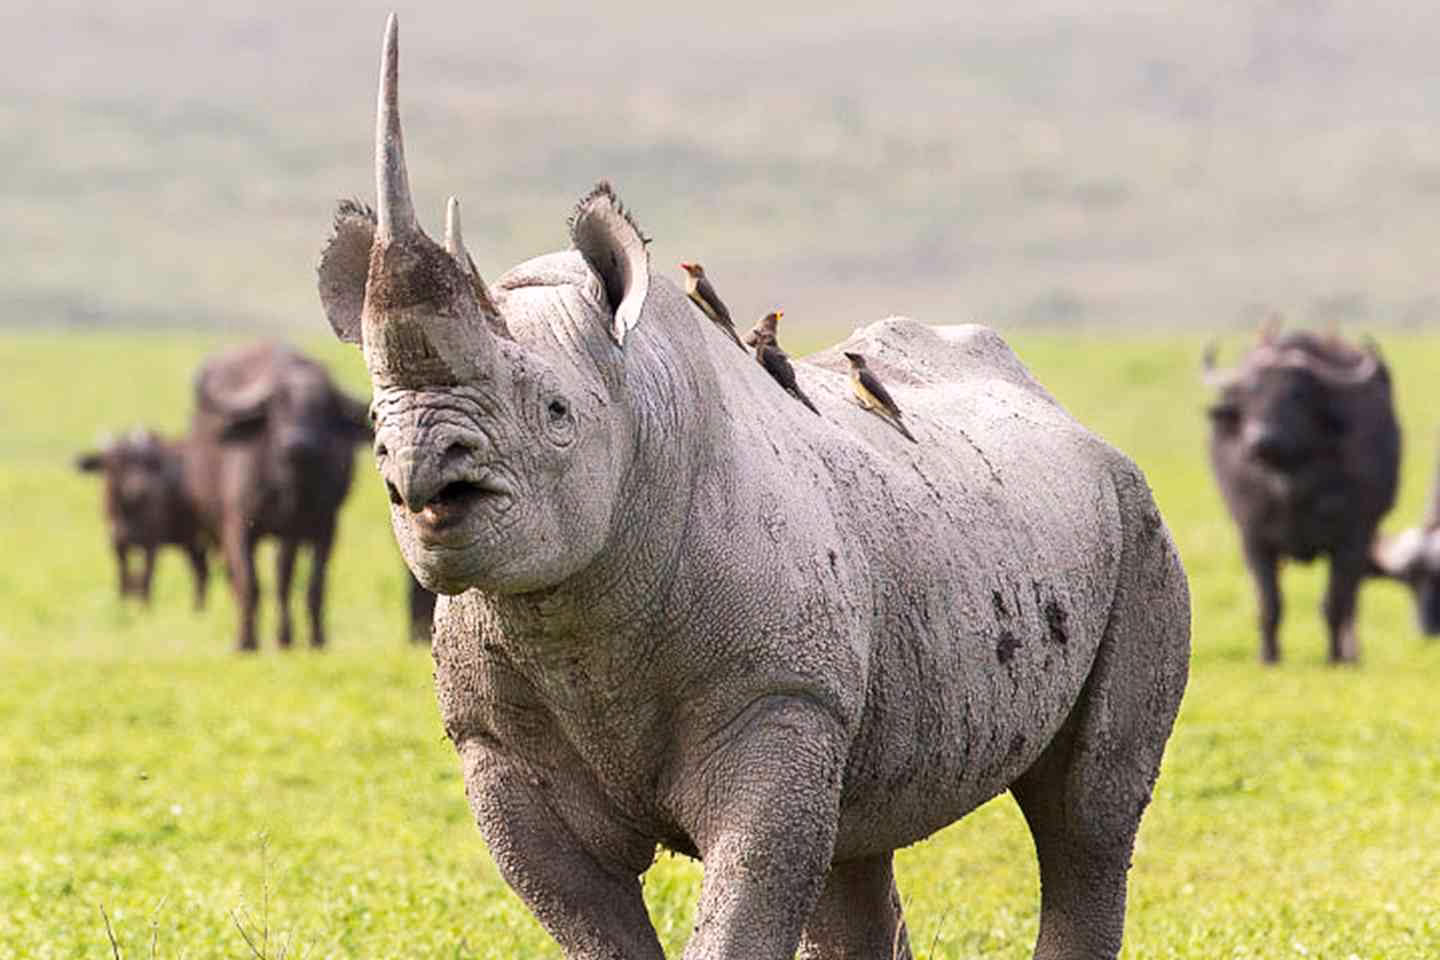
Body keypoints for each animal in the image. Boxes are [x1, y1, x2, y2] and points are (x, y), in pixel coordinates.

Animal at [313, 17, 1190, 959]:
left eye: (556, 412)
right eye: (375, 429)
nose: (421, 475)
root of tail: (1064, 412)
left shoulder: (778, 698)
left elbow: (752, 887)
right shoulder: (497, 744)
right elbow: (588, 914)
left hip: (1136, 517)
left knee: (1087, 814)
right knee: (858, 840)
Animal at [1203, 329, 1400, 663]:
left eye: (1297, 395)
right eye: (1250, 393)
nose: (1261, 440)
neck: (1290, 487)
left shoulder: (1352, 537)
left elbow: (1334, 603)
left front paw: (1334, 658)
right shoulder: (1253, 538)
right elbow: (1269, 603)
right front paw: (1268, 657)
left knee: (1352, 602)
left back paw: (1351, 654)